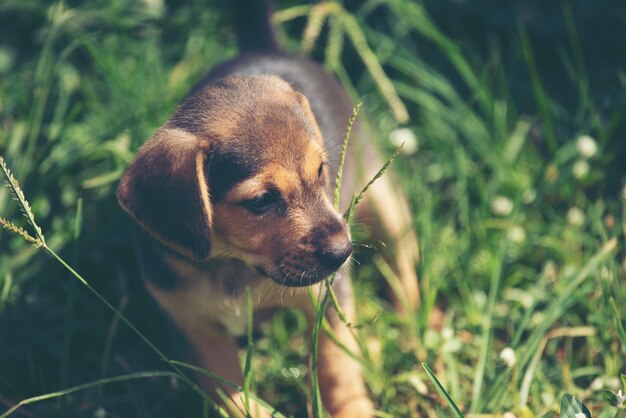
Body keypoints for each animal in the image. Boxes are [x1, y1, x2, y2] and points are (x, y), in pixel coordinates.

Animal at [117, 1, 420, 416]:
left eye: (322, 172)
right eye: (261, 201)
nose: (343, 253)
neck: (232, 264)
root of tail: (264, 46)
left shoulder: (325, 298)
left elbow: (336, 366)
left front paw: (349, 408)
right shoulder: (197, 330)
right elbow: (231, 395)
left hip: (387, 203)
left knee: (404, 266)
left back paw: (416, 330)